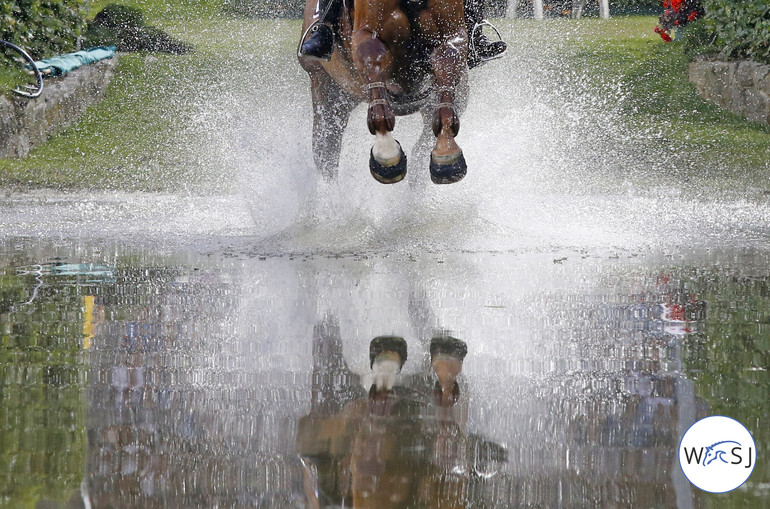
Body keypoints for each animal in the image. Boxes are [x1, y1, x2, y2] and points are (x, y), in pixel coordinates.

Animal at [298, 0, 472, 183]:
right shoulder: (367, 34)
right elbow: (374, 65)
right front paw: (387, 153)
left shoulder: (451, 35)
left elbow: (445, 108)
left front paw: (447, 153)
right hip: (327, 90)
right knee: (326, 153)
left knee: (420, 152)